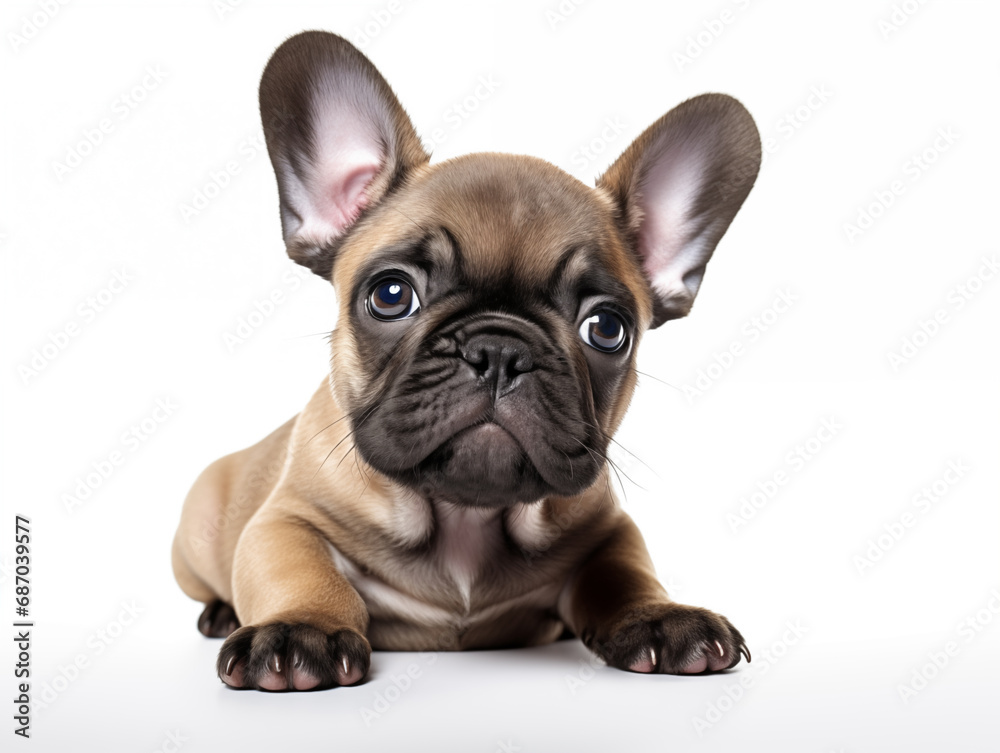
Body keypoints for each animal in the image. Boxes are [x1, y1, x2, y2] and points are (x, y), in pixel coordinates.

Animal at [172, 29, 760, 692]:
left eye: (607, 328)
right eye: (391, 294)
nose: (500, 349)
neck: (463, 517)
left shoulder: (610, 530)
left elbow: (626, 571)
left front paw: (660, 617)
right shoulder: (287, 519)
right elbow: (298, 568)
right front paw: (301, 627)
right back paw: (221, 613)